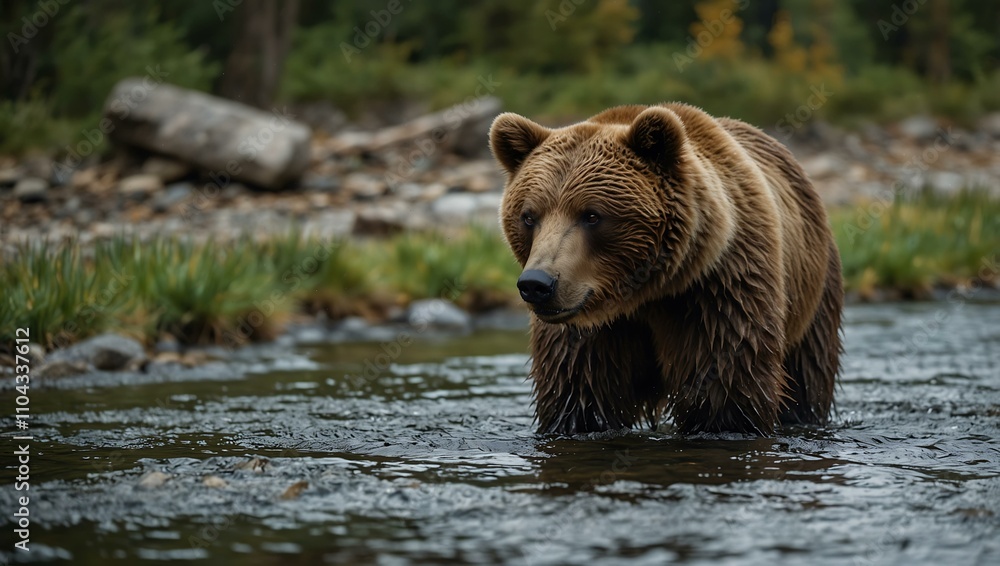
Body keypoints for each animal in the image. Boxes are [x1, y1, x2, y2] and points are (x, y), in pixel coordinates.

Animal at [489, 103, 843, 435]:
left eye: (591, 215)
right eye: (529, 216)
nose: (537, 284)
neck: (644, 293)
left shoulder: (717, 291)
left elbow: (726, 389)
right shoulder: (586, 332)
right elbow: (578, 394)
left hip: (812, 294)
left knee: (806, 375)